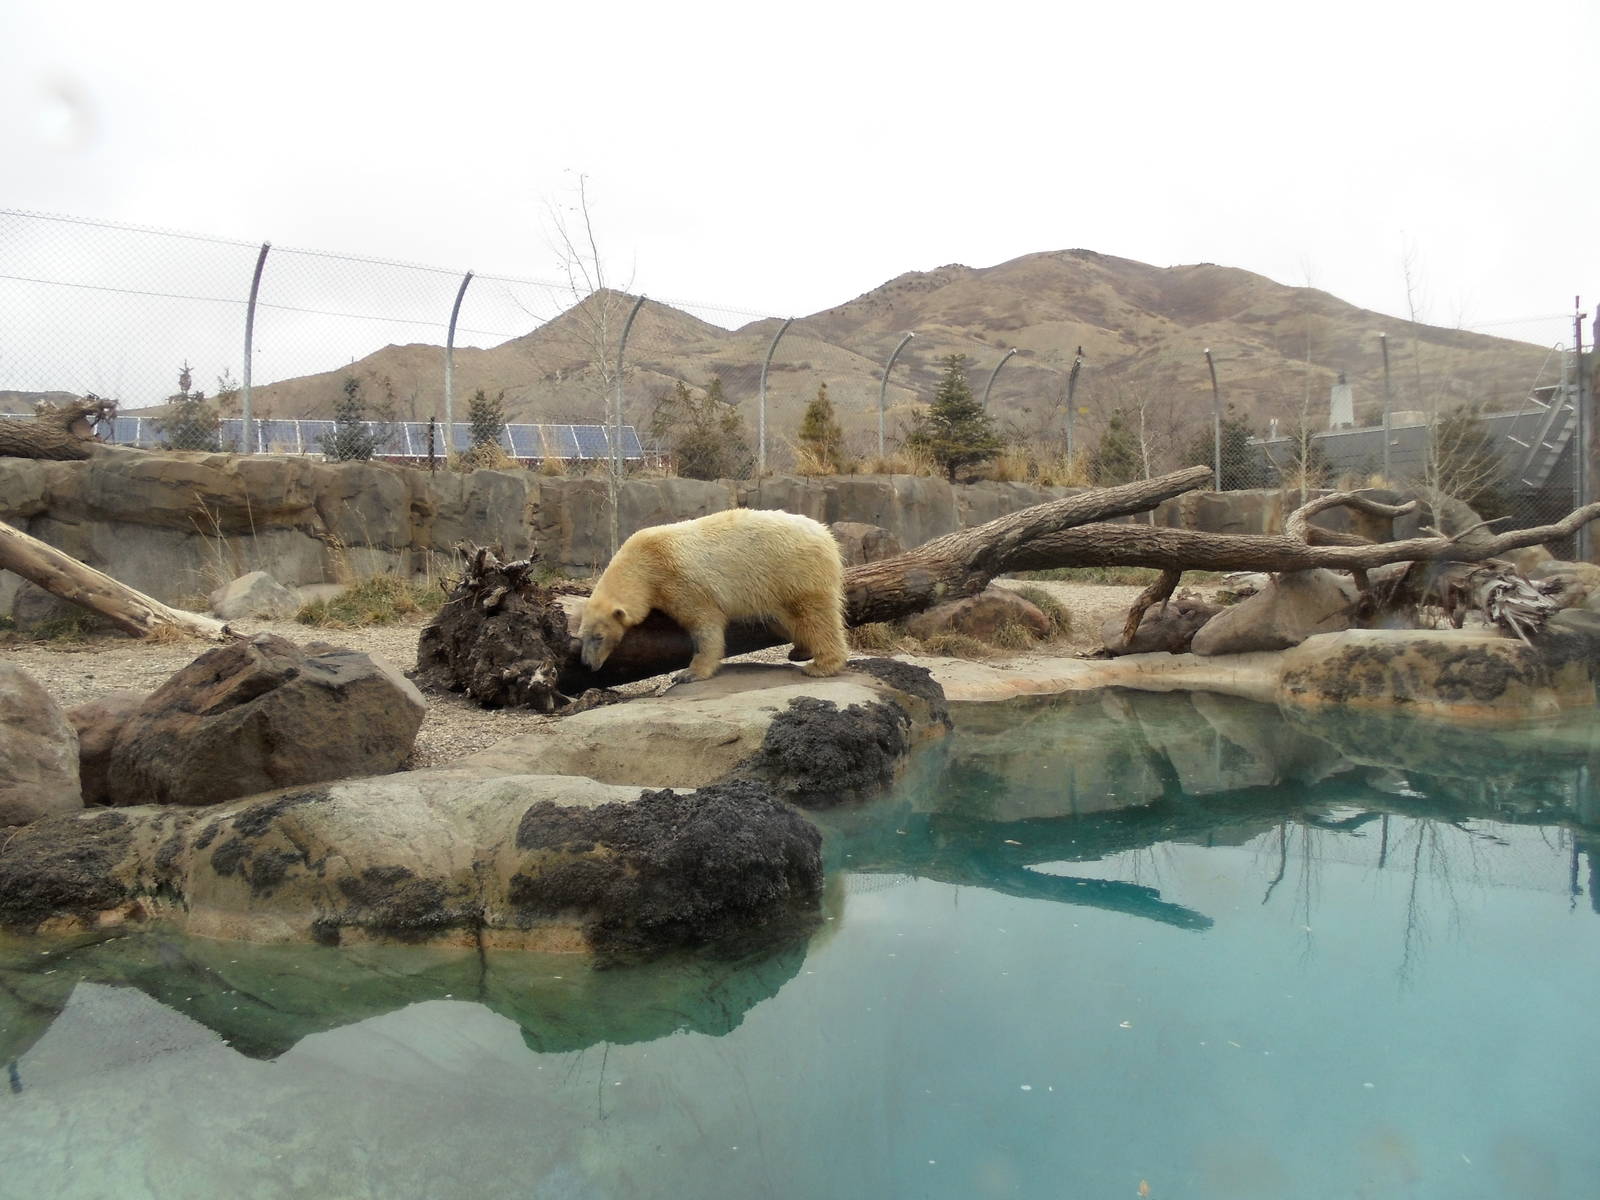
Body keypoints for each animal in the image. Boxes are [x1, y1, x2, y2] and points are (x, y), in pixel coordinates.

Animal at [577, 508, 850, 681]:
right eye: (582, 637)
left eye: (599, 637)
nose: (587, 664)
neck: (643, 561)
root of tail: (826, 534)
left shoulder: (680, 581)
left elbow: (704, 624)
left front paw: (689, 673)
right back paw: (801, 650)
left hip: (794, 571)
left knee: (814, 616)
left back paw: (821, 665)